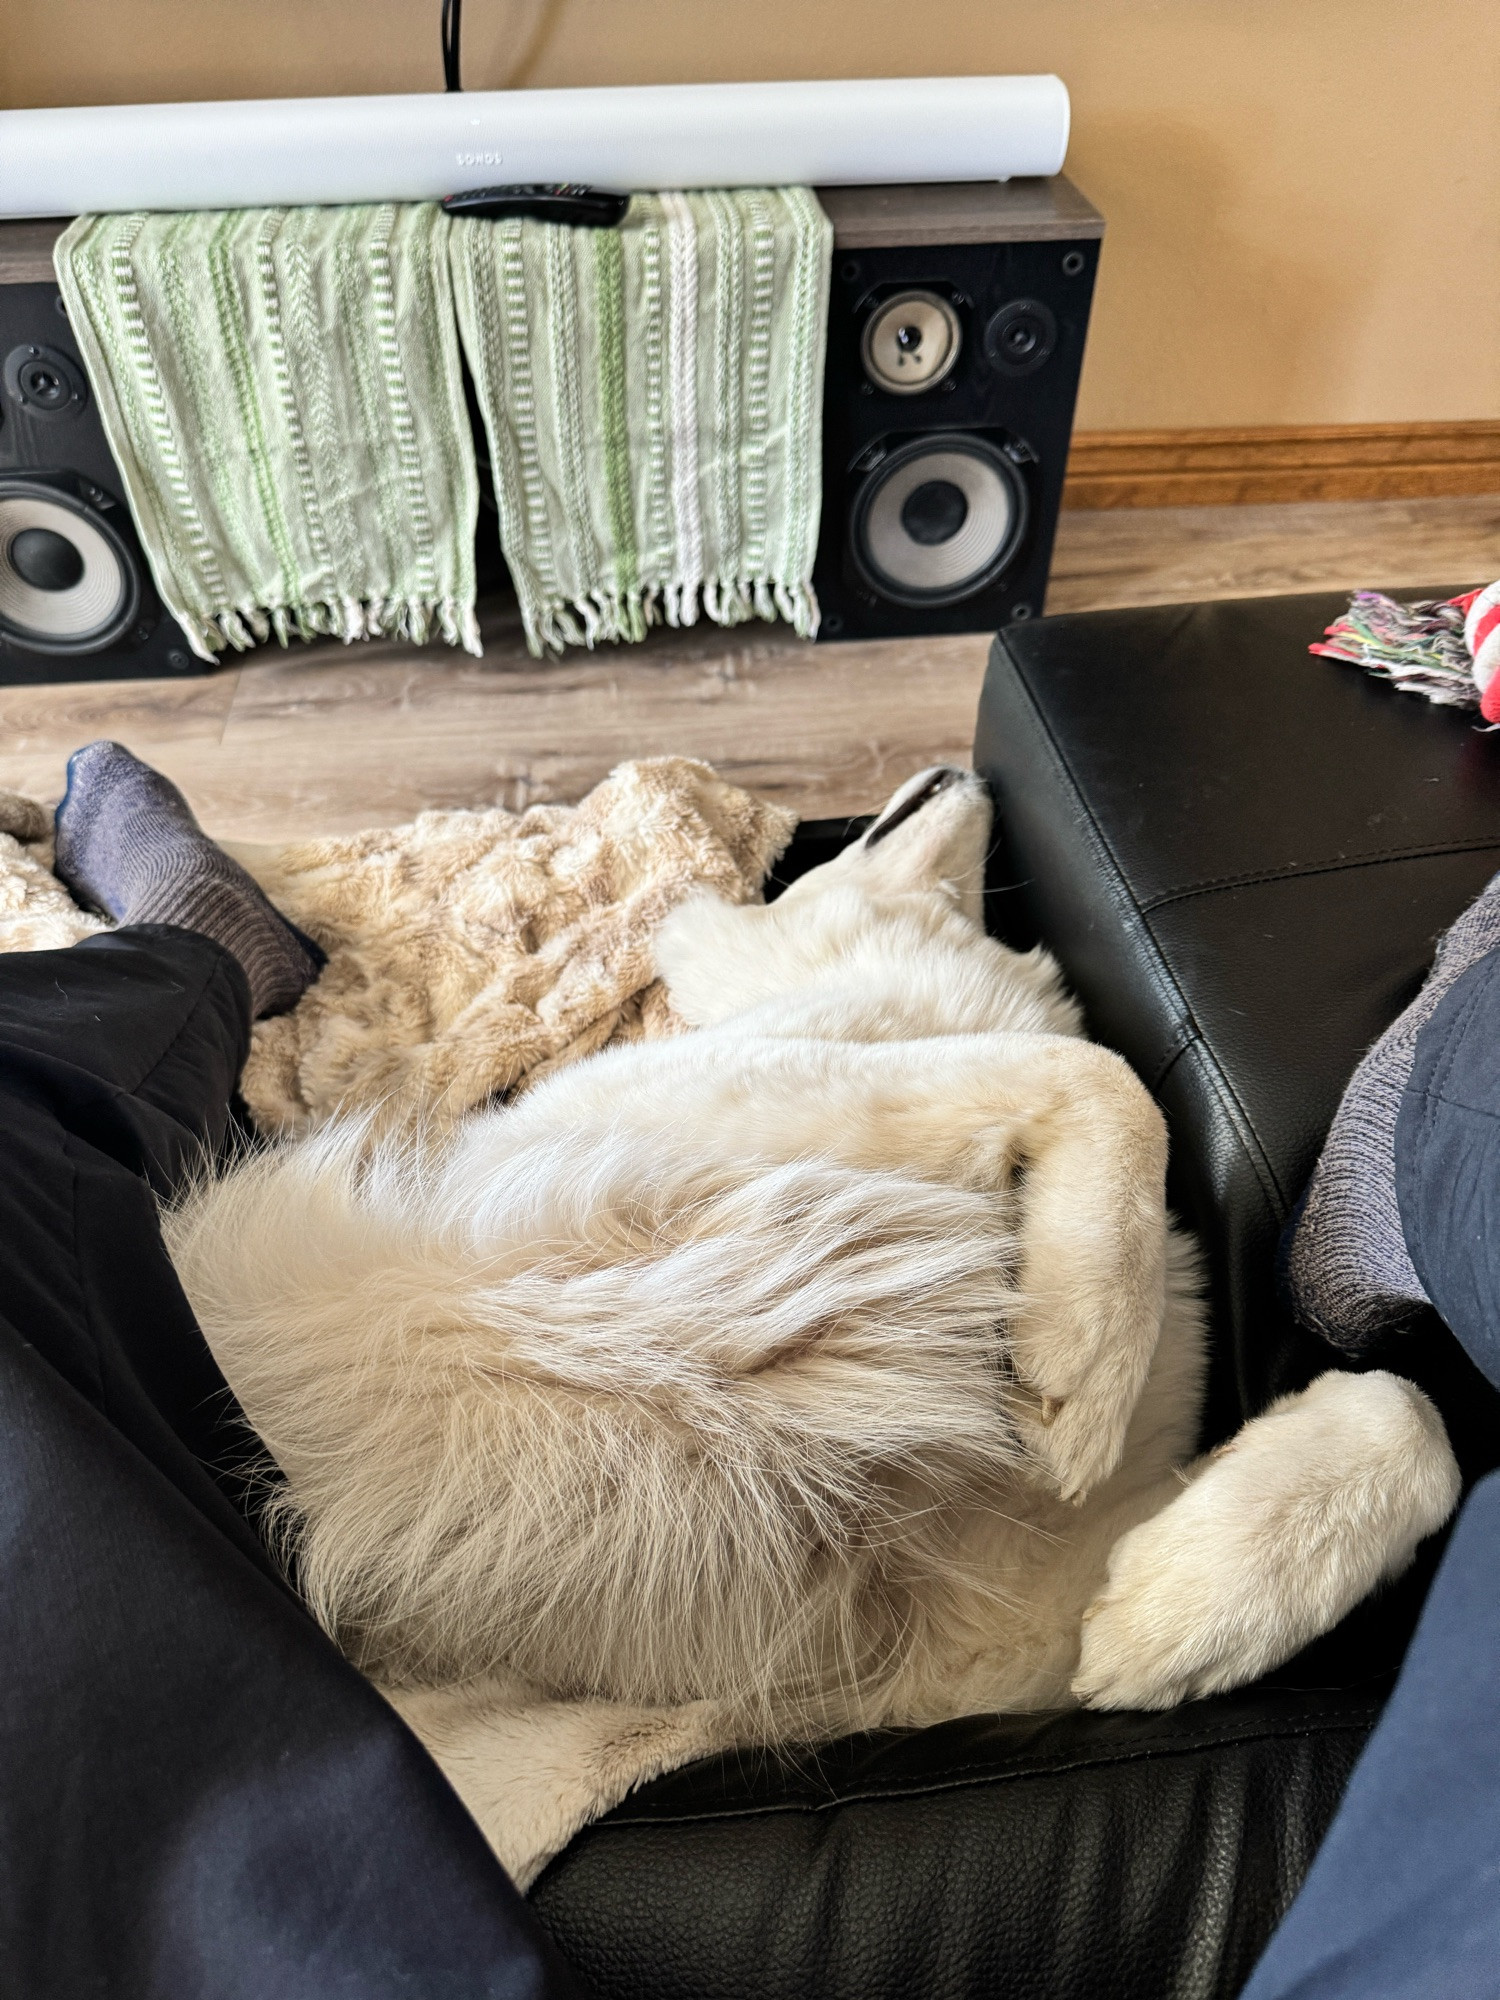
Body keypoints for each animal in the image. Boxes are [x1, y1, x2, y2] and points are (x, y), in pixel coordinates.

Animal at [164, 772, 1456, 1864]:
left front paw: (1168, 1618)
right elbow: (1104, 1080)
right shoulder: (706, 1155)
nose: (958, 766)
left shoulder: (989, 1630)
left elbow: (1413, 1415)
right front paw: (1082, 1345)